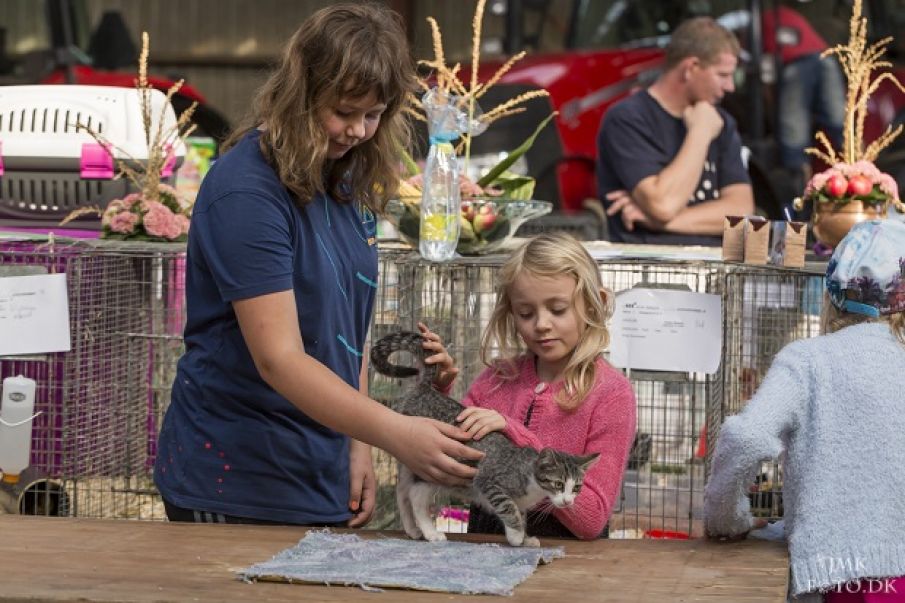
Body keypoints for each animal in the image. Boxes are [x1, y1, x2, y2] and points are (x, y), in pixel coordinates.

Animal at [370, 330, 596, 548]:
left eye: (576, 487)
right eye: (558, 484)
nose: (567, 502)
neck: (531, 479)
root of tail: (425, 389)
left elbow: (521, 514)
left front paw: (525, 538)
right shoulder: (490, 481)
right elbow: (508, 508)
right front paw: (516, 535)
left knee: (402, 491)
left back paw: (413, 529)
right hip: (429, 463)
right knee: (415, 495)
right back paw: (431, 532)